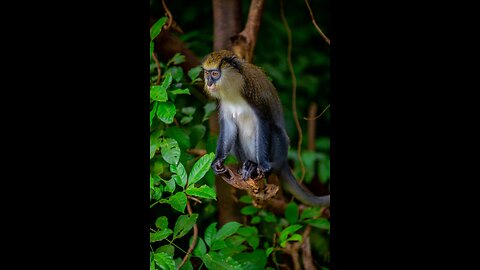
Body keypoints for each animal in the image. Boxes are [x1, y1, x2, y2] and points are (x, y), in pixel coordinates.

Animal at [202, 50, 330, 207]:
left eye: (215, 74)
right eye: (207, 74)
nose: (209, 83)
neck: (234, 90)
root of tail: (283, 163)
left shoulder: (256, 98)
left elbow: (264, 123)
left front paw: (261, 166)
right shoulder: (225, 105)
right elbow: (229, 128)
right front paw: (217, 162)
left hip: (280, 151)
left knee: (275, 130)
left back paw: (255, 166)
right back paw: (243, 166)